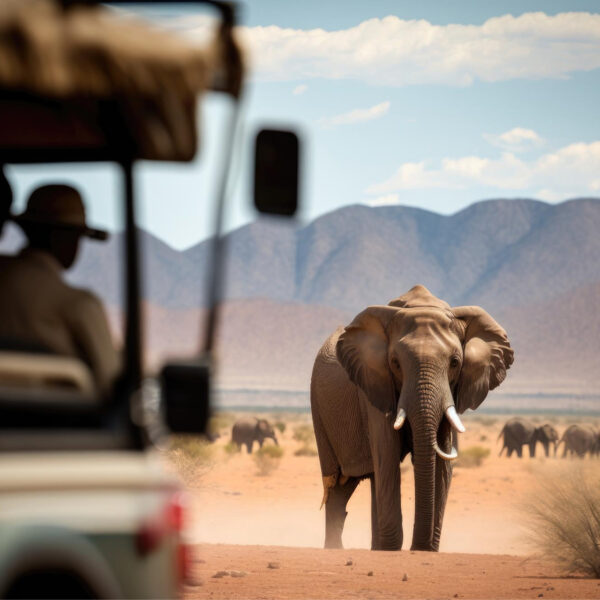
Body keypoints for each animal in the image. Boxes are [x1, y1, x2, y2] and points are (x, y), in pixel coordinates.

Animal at [312, 284, 512, 552]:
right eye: (395, 363)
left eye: (455, 362)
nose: (418, 546)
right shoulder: (374, 384)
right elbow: (387, 454)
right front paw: (394, 549)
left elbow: (442, 464)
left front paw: (424, 549)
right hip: (319, 411)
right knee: (338, 485)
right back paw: (339, 549)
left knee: (365, 481)